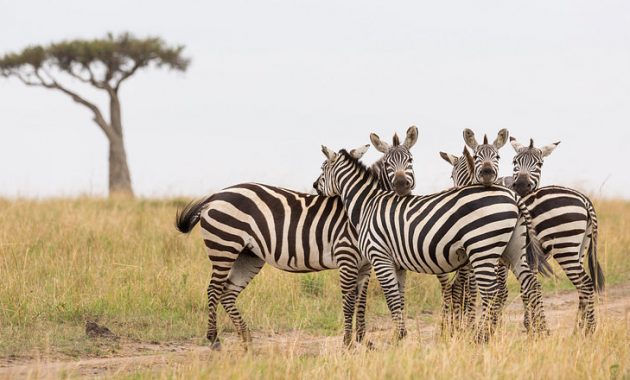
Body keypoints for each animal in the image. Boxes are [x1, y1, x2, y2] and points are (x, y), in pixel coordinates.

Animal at [174, 126, 420, 348]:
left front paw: (363, 340)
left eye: (410, 160)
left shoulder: (366, 263)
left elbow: (362, 300)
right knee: (213, 290)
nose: (402, 186)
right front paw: (350, 342)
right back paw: (214, 339)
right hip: (224, 246)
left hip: (248, 255)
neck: (364, 205)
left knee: (227, 292)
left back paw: (246, 338)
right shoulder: (347, 257)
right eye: (387, 164)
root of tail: (215, 196)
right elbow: (350, 300)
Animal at [316, 140, 548, 344]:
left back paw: (482, 337)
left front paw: (396, 338)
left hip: (482, 248)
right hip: (514, 249)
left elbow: (391, 298)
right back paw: (540, 332)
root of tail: (513, 195)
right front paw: (402, 336)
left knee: (492, 292)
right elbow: (400, 298)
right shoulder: (398, 263)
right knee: (531, 285)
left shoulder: (379, 256)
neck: (367, 204)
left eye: (322, 167)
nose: (314, 186)